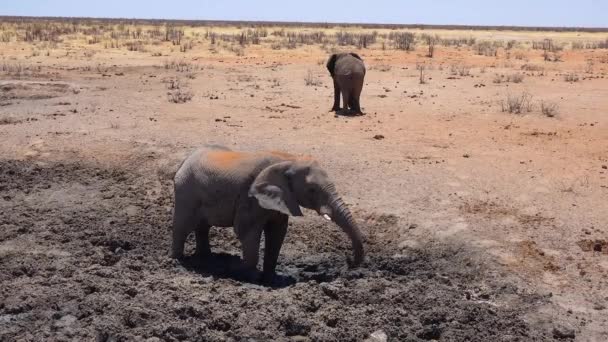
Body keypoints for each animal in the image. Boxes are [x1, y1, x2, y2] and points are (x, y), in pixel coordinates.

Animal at [169, 146, 364, 284]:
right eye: (312, 190)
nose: (350, 263)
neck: (289, 159)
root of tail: (186, 159)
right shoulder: (250, 196)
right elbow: (246, 231)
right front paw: (250, 277)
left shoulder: (281, 200)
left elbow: (277, 234)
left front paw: (271, 278)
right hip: (185, 190)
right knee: (182, 226)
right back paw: (177, 262)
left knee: (202, 226)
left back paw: (206, 259)